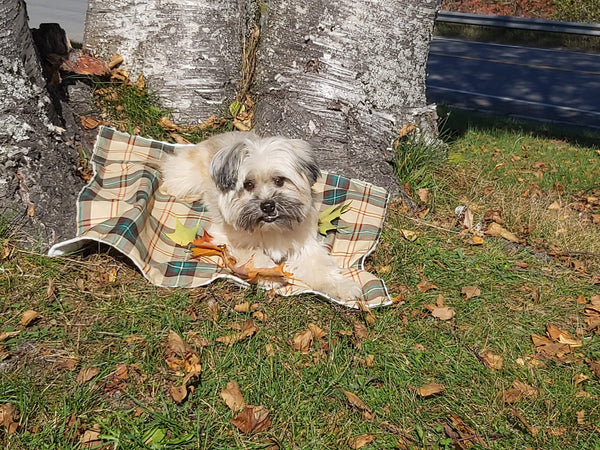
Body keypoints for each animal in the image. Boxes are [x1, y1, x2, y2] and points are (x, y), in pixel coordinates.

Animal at [159, 130, 364, 300]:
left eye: (280, 180)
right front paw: (269, 274)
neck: (271, 228)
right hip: (185, 179)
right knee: (168, 181)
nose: (267, 206)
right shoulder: (225, 237)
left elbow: (321, 267)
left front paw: (342, 286)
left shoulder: (305, 244)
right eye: (248, 185)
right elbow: (254, 255)